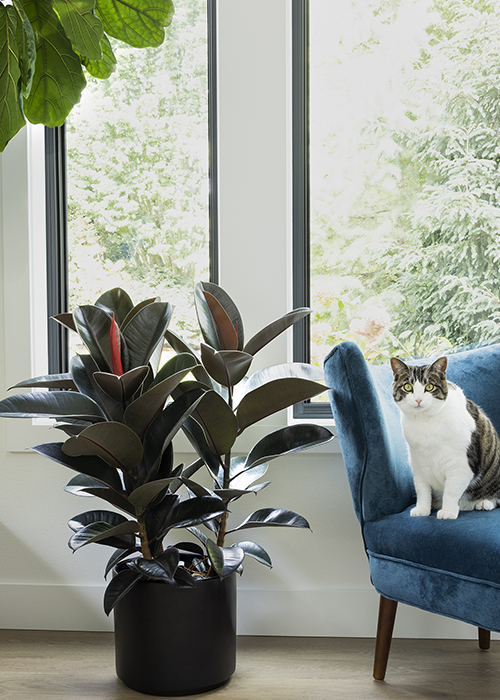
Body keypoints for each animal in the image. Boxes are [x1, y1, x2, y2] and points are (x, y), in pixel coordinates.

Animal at [392, 358, 500, 516]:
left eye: (429, 387)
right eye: (407, 387)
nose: (418, 400)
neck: (425, 423)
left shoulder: (460, 464)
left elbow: (451, 491)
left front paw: (448, 512)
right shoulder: (418, 464)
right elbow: (422, 490)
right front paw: (422, 509)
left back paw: (484, 503)